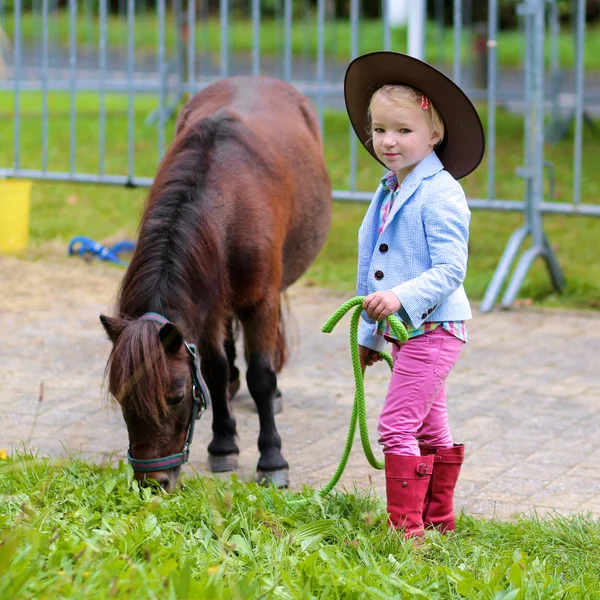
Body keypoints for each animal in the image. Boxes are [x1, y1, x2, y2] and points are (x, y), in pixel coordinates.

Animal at [100, 76, 330, 492]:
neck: (227, 204)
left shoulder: (260, 302)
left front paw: (272, 459)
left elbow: (261, 375)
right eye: (120, 396)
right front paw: (224, 444)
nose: (152, 482)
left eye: (176, 396)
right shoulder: (204, 311)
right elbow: (213, 370)